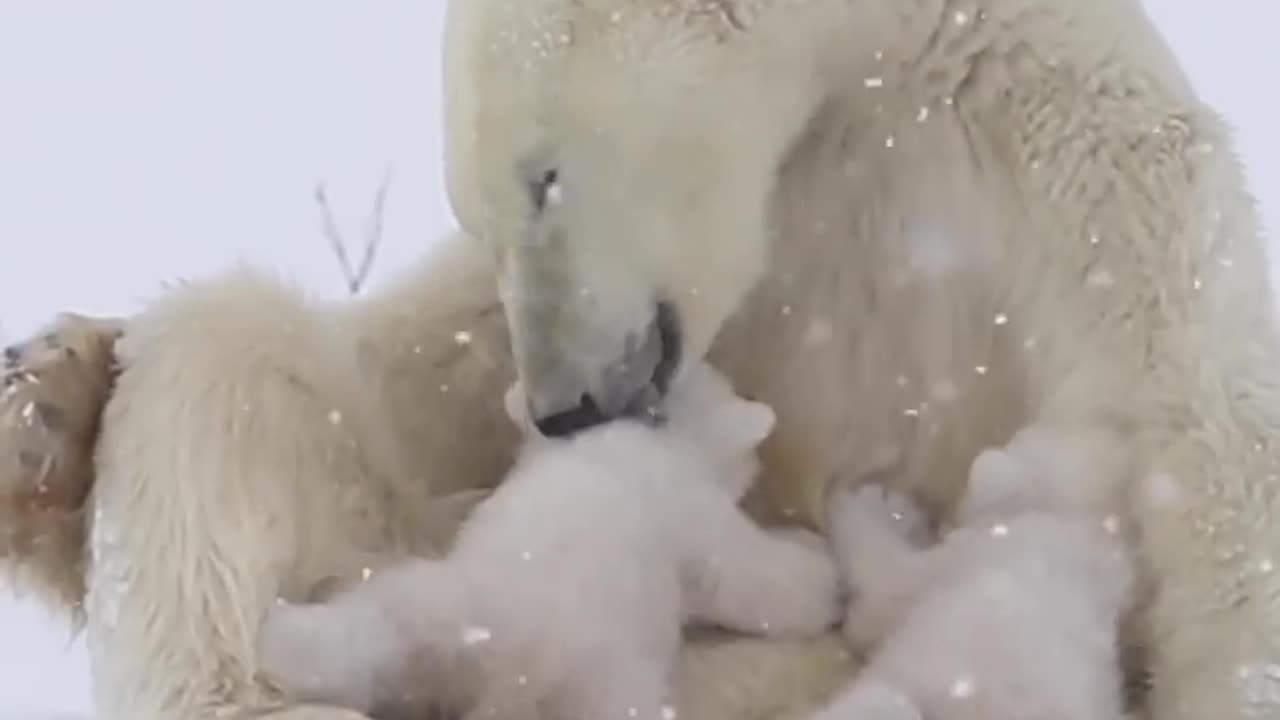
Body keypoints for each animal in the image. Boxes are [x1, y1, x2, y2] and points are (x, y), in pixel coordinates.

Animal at [256, 363, 844, 717]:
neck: (635, 436)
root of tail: (499, 664)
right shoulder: (696, 516)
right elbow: (756, 577)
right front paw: (821, 571)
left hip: (421, 608)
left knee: (355, 638)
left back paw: (283, 637)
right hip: (607, 686)